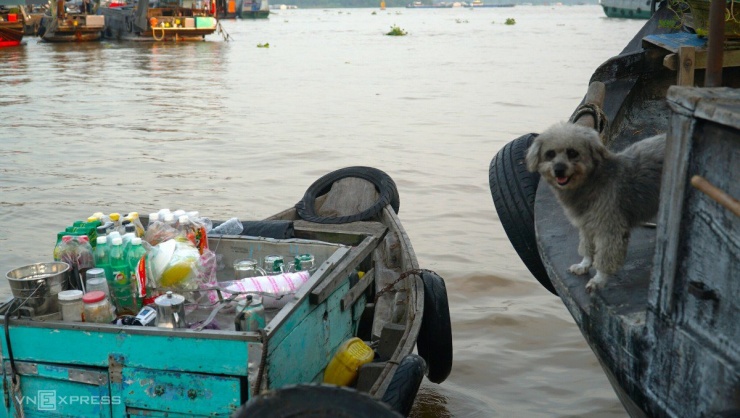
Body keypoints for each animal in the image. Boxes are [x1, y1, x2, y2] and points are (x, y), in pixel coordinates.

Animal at [528, 122, 664, 294]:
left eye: (572, 152)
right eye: (550, 154)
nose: (558, 170)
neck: (593, 180)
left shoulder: (609, 230)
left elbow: (604, 258)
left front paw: (598, 280)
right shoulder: (587, 225)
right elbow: (587, 247)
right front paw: (584, 265)